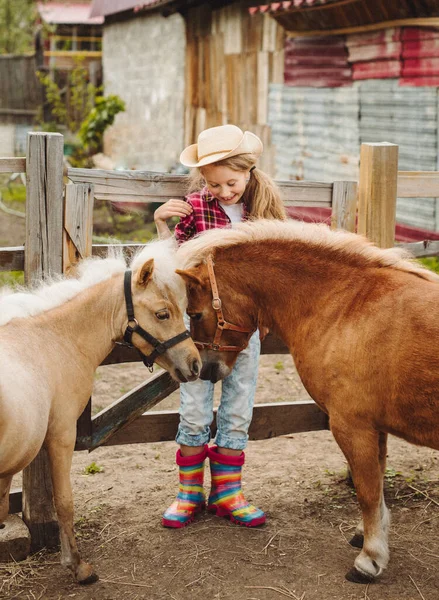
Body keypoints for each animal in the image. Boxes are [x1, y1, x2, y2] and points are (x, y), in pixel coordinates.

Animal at [0, 238, 201, 580]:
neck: (52, 339)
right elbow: (64, 502)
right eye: (163, 313)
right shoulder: (61, 436)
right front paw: (77, 566)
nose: (195, 363)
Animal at [177, 218, 439, 584]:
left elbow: (367, 491)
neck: (348, 305)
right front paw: (366, 535)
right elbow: (375, 486)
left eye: (196, 314)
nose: (205, 370)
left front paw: (370, 559)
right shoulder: (376, 428)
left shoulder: (352, 426)